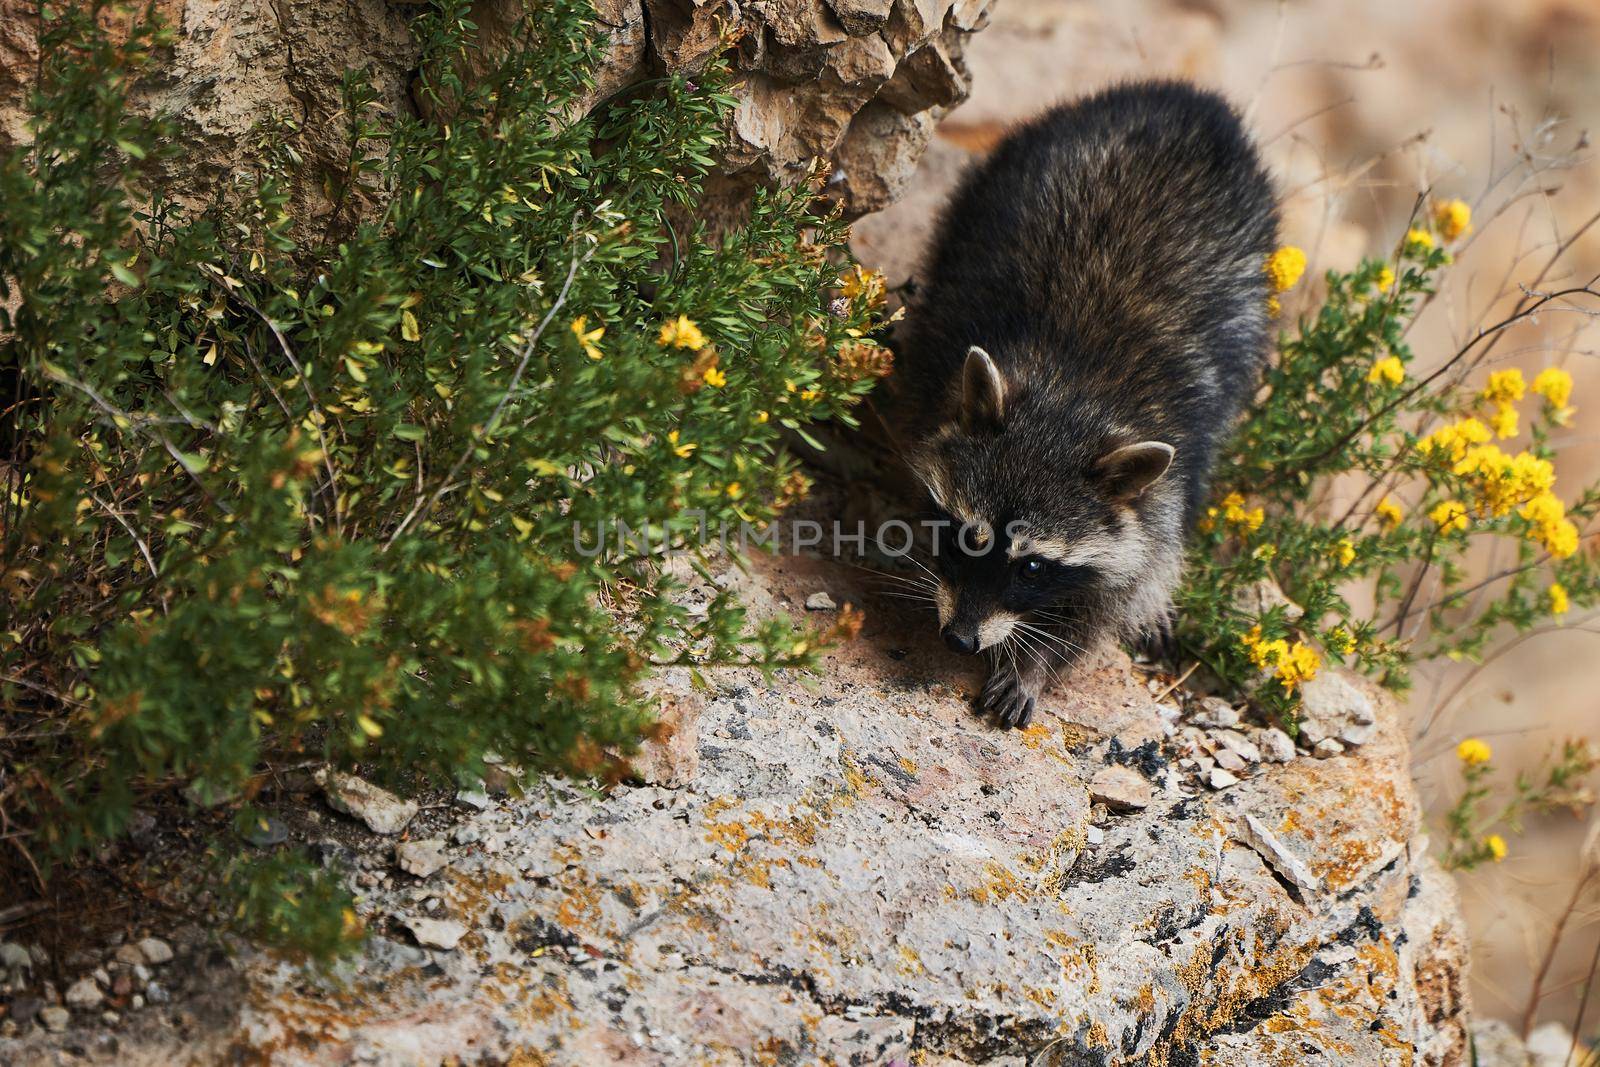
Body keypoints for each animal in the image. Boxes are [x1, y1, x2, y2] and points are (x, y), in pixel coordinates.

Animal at [889, 81, 1273, 726]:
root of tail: (1196, 99)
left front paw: (1038, 662)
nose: (960, 640)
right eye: (969, 538)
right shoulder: (935, 367)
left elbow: (1119, 596)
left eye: (1033, 567)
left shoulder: (1160, 499)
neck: (1072, 395)